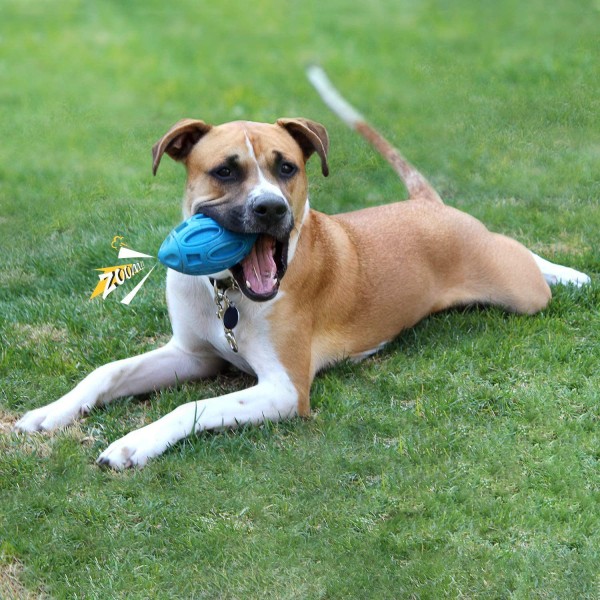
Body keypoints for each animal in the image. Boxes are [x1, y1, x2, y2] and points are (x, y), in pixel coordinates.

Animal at [15, 67, 592, 468]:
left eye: (287, 167)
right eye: (225, 171)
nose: (271, 208)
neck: (228, 295)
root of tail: (429, 204)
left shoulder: (283, 389)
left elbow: (189, 408)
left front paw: (135, 442)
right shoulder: (192, 355)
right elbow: (108, 371)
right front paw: (50, 412)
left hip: (516, 288)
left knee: (521, 254)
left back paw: (569, 274)